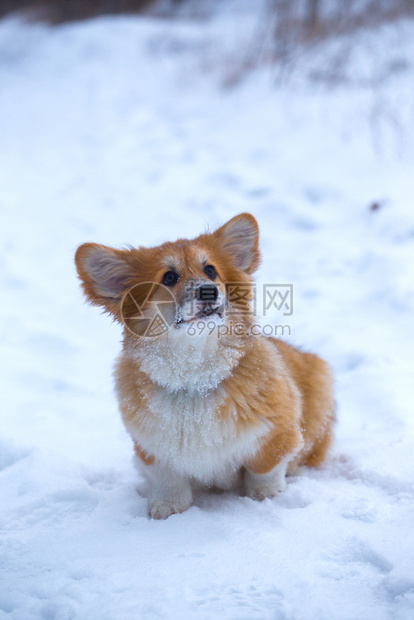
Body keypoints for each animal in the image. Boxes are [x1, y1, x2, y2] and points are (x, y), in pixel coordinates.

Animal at [74, 213, 334, 520]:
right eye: (169, 277)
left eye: (210, 271)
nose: (208, 291)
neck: (194, 376)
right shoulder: (152, 448)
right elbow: (168, 479)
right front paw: (168, 506)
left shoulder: (277, 432)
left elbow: (265, 468)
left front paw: (265, 495)